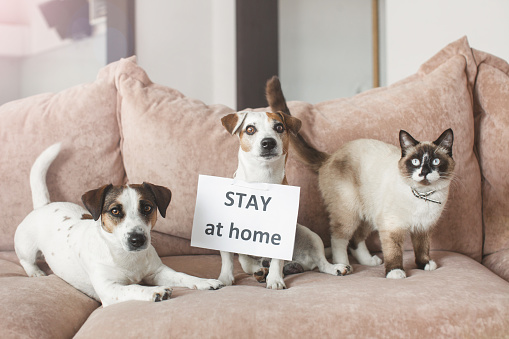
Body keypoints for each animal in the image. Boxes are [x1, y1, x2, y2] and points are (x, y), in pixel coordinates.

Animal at [14, 143, 222, 308]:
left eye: (147, 207)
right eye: (114, 211)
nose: (137, 239)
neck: (127, 257)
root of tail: (45, 205)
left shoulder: (158, 272)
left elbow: (182, 276)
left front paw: (204, 281)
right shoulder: (110, 290)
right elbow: (134, 288)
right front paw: (154, 292)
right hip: (26, 247)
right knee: (26, 260)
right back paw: (35, 272)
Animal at [266, 76, 452, 278]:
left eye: (435, 161)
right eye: (416, 162)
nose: (424, 172)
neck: (423, 195)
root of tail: (330, 156)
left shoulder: (423, 228)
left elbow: (422, 247)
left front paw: (424, 264)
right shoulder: (392, 227)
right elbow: (394, 251)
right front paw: (395, 272)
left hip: (367, 213)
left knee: (356, 240)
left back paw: (369, 261)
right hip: (349, 212)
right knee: (339, 239)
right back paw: (344, 266)